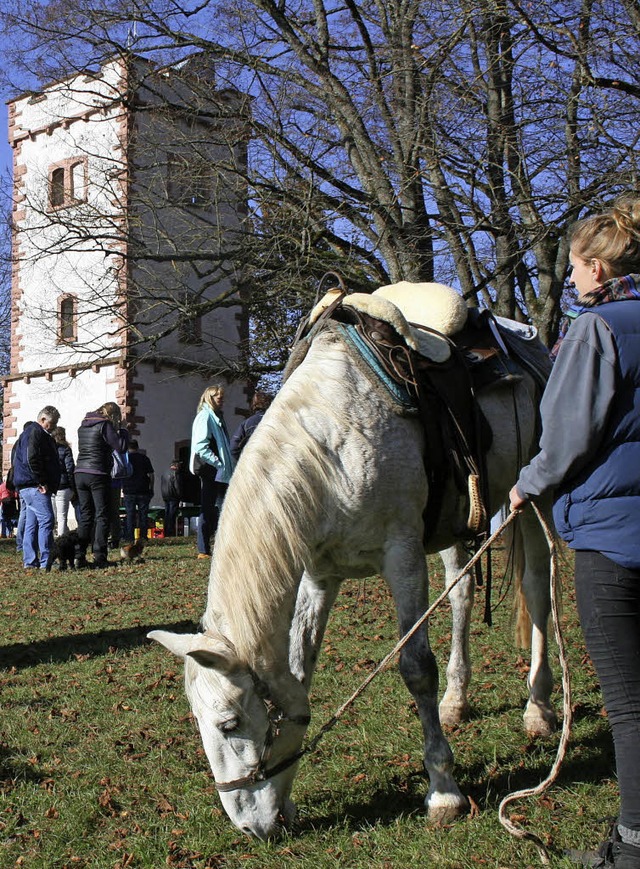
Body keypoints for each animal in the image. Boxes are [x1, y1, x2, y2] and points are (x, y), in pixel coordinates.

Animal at [151, 284, 556, 840]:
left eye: (229, 723)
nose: (248, 827)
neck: (332, 444)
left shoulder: (402, 556)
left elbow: (415, 667)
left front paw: (444, 790)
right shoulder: (319, 575)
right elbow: (300, 671)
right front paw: (288, 801)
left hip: (531, 498)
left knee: (537, 588)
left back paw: (540, 709)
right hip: (459, 518)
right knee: (462, 593)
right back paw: (456, 702)